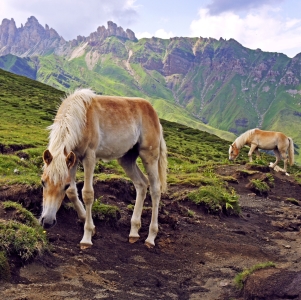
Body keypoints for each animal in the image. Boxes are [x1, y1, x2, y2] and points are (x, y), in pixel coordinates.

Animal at [39, 89, 166, 248]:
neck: (80, 117)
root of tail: (153, 113)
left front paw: (87, 237)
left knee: (155, 190)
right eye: (43, 182)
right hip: (127, 158)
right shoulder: (73, 159)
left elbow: (87, 194)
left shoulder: (89, 157)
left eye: (64, 185)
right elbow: (73, 192)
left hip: (149, 156)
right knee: (142, 184)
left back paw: (150, 237)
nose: (48, 222)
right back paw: (134, 231)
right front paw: (89, 225)